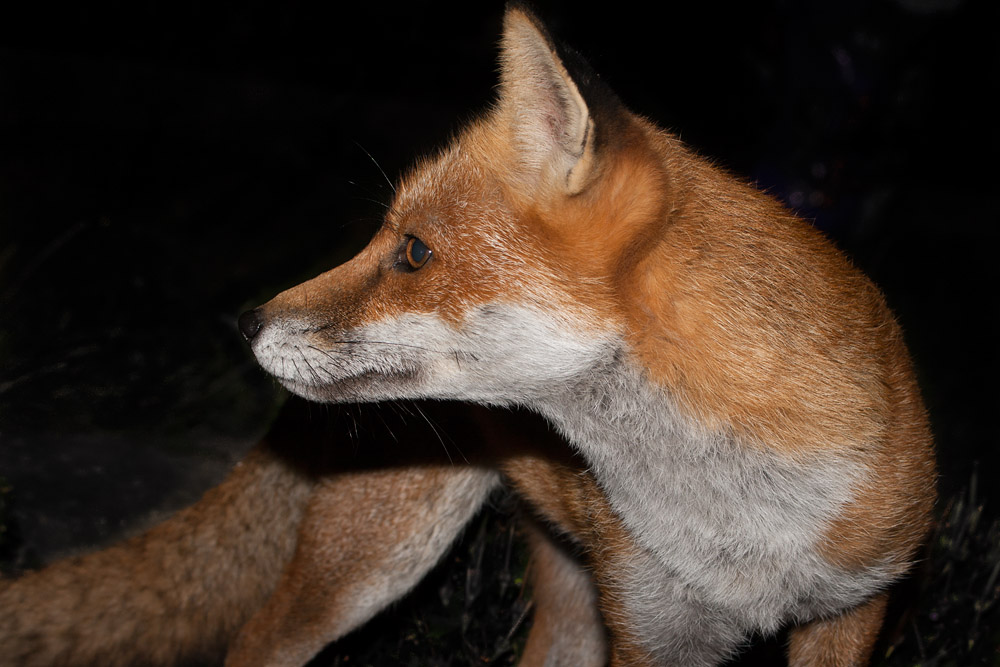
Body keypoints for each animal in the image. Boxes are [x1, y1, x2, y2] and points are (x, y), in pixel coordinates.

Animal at [0, 5, 936, 666]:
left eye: (414, 251)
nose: (248, 321)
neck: (740, 519)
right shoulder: (652, 628)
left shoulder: (852, 608)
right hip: (367, 563)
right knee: (255, 642)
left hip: (567, 591)